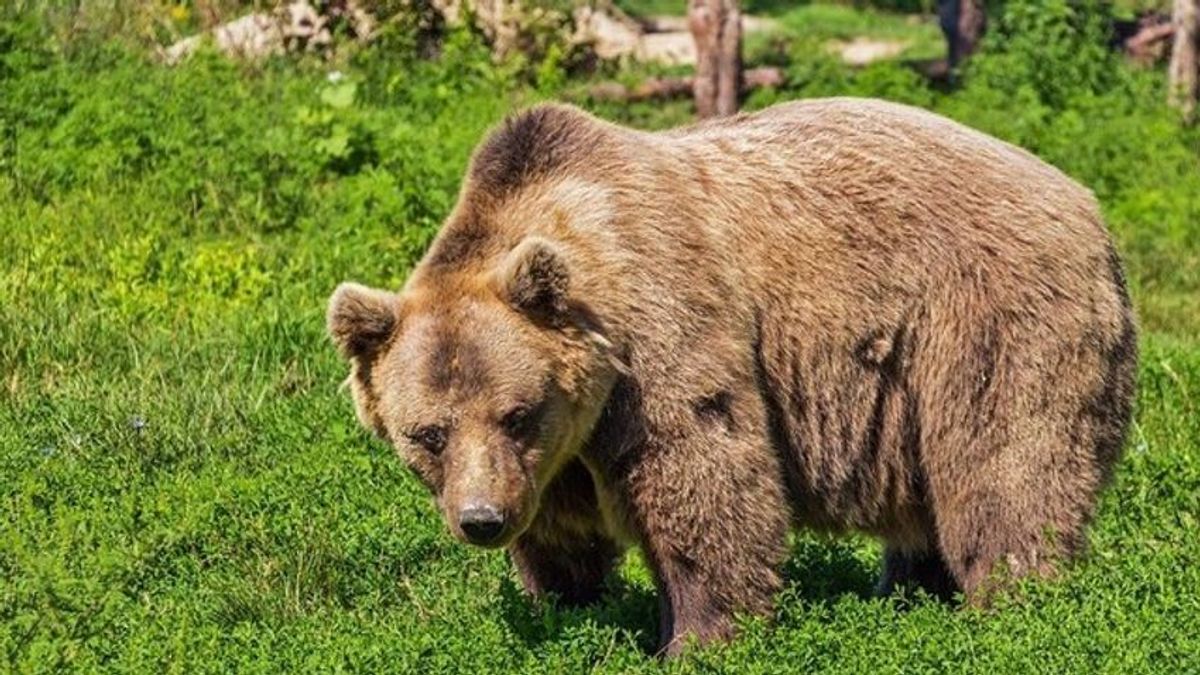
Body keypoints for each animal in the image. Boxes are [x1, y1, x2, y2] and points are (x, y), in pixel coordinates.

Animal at [326, 98, 1132, 653]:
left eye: (516, 412)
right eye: (427, 433)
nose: (482, 519)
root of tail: (1087, 203)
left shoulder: (659, 336)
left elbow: (703, 474)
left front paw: (698, 636)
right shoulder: (556, 455)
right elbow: (561, 530)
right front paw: (568, 604)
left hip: (986, 318)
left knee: (1004, 464)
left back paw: (1013, 601)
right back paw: (908, 591)